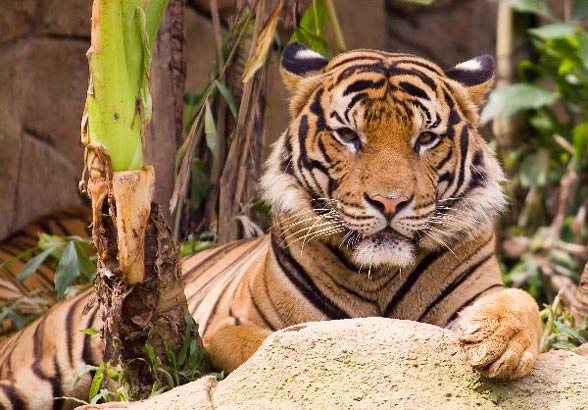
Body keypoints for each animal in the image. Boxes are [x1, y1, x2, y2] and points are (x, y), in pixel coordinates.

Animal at [0, 43, 544, 408]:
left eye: (426, 138)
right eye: (348, 135)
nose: (389, 202)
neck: (380, 276)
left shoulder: (480, 288)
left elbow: (524, 301)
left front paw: (500, 343)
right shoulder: (231, 326)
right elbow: (283, 348)